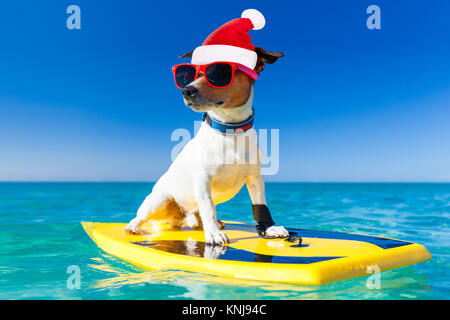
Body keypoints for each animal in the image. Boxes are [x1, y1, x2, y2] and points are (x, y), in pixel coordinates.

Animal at [126, 9, 288, 245]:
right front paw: (213, 233)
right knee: (142, 215)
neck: (230, 131)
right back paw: (134, 226)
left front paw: (270, 228)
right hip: (158, 201)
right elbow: (208, 207)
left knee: (195, 217)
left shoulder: (255, 178)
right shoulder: (203, 179)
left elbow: (260, 205)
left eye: (218, 73)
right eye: (189, 75)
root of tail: (179, 217)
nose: (186, 90)